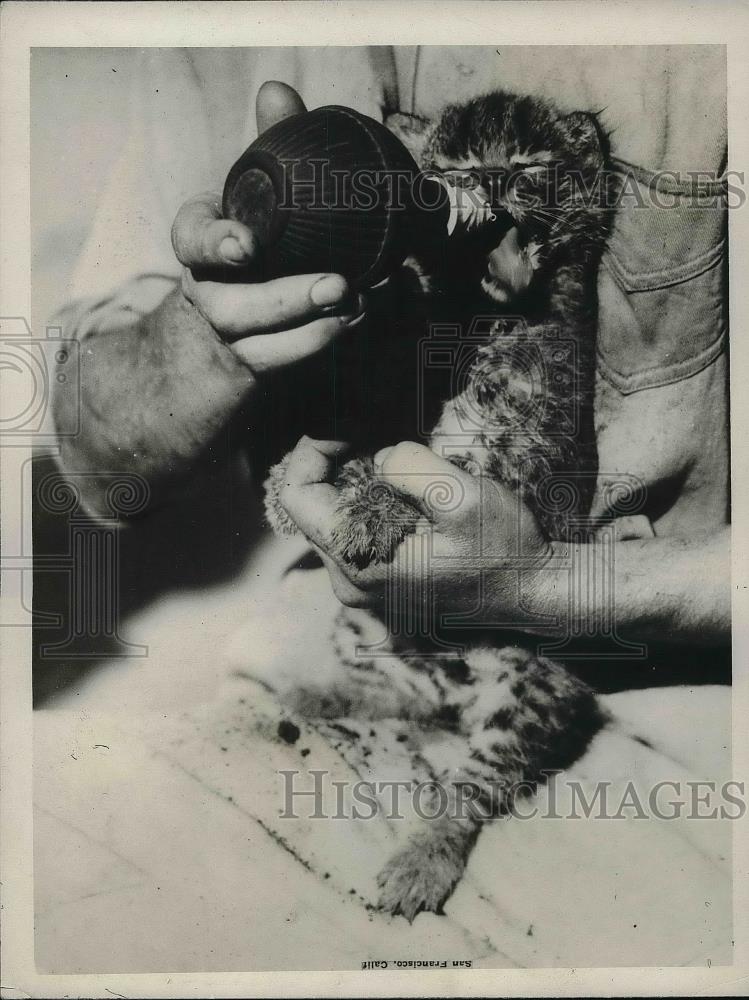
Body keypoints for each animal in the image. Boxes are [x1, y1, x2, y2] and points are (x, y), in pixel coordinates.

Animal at [262, 94, 612, 920]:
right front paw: (291, 492)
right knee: (394, 694)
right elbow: (366, 434)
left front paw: (371, 509)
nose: (490, 181)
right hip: (368, 636)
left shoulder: (520, 453)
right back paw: (315, 692)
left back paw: (423, 860)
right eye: (455, 168)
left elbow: (442, 470)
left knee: (471, 787)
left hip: (538, 683)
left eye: (527, 165)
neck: (478, 316)